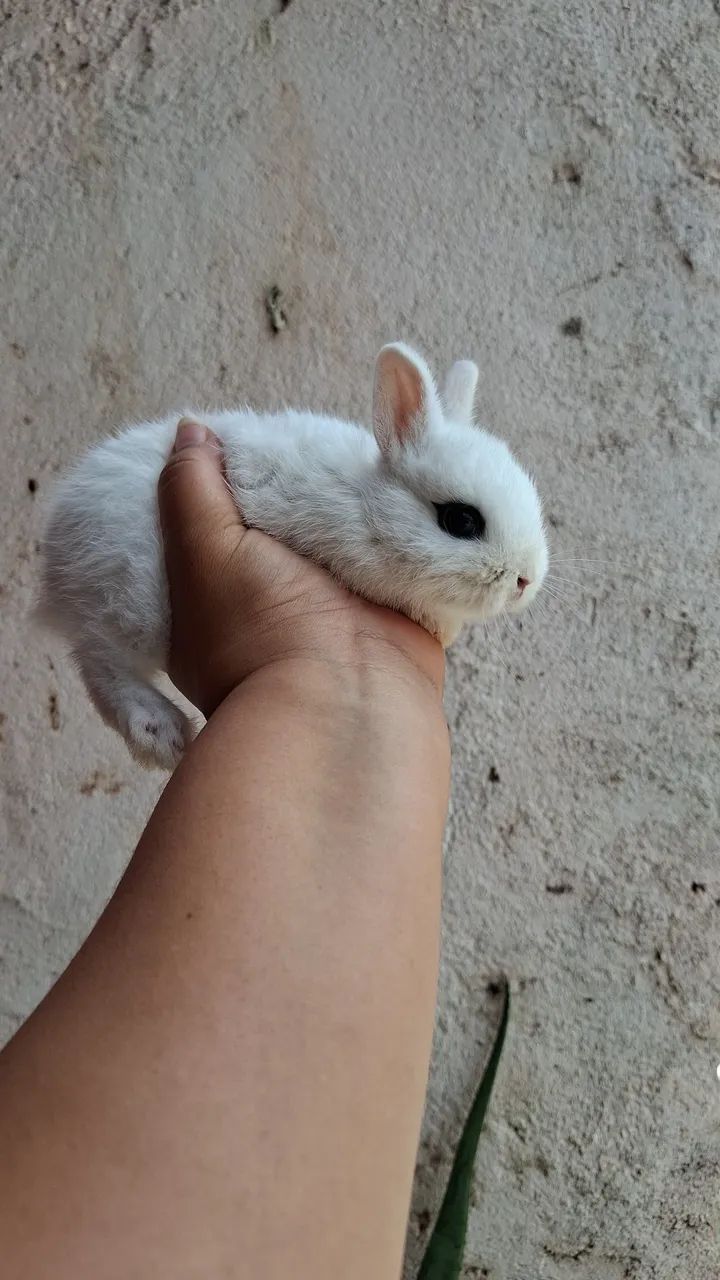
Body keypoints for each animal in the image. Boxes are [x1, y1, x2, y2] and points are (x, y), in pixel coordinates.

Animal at [38, 342, 548, 769]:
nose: (526, 581)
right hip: (129, 595)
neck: (366, 503)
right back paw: (161, 734)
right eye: (461, 520)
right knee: (100, 659)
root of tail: (55, 555)